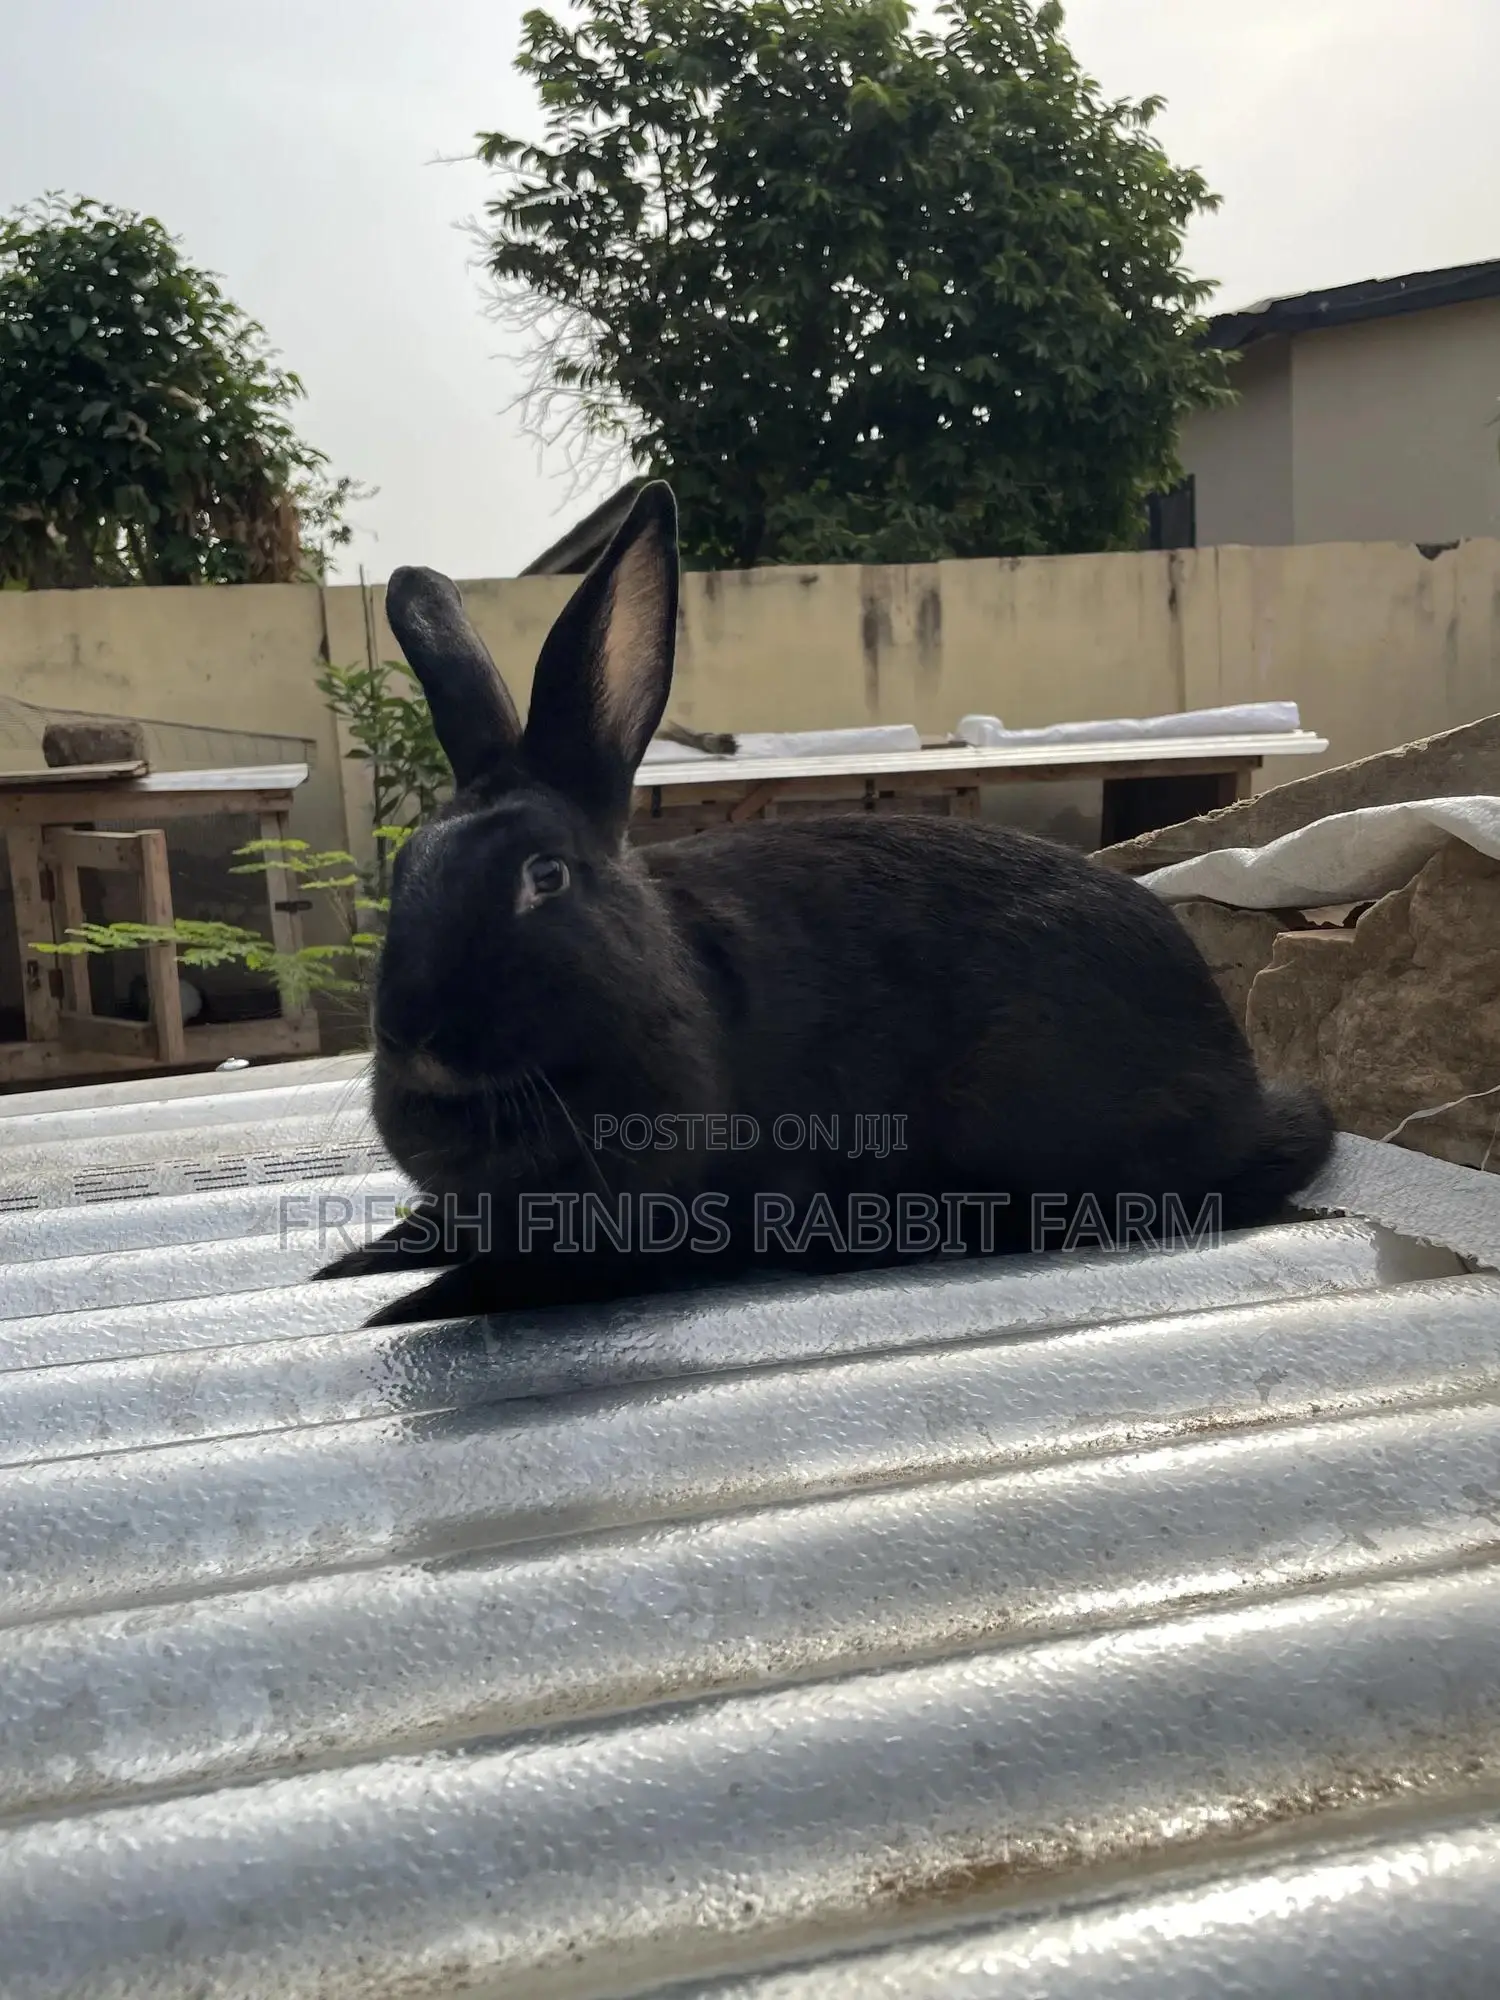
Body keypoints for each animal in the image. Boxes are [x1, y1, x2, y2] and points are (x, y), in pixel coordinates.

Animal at [317, 480, 1333, 1326]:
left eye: (547, 877)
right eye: (407, 867)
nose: (412, 1033)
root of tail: (1243, 1087)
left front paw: (396, 1304)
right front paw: (356, 1262)